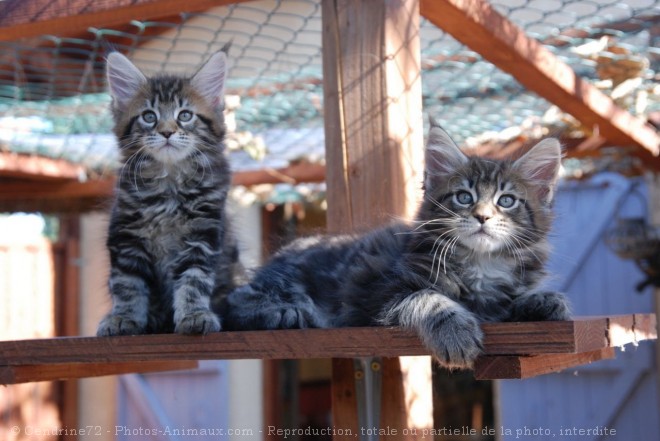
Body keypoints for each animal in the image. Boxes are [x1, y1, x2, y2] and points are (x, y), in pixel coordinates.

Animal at [96, 48, 244, 336]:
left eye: (184, 115)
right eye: (149, 116)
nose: (166, 132)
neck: (170, 184)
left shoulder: (202, 234)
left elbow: (194, 281)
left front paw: (195, 316)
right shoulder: (126, 236)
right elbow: (128, 285)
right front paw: (123, 318)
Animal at [224, 123, 568, 368]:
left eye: (506, 201)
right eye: (463, 197)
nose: (482, 216)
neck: (481, 262)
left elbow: (514, 301)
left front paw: (546, 300)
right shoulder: (384, 290)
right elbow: (430, 298)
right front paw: (456, 333)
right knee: (232, 302)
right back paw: (286, 313)